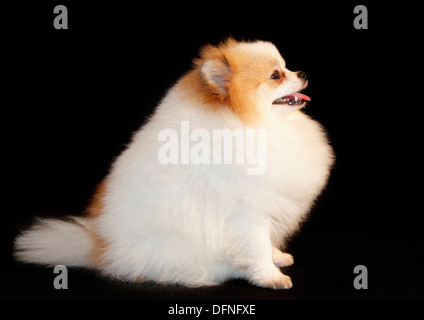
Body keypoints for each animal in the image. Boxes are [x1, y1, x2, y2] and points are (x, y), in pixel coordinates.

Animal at [14, 38, 334, 290]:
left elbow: (266, 242)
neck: (252, 124)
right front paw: (270, 277)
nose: (302, 72)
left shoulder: (267, 204)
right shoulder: (245, 214)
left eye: (286, 67)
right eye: (276, 75)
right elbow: (256, 247)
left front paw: (277, 256)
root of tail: (99, 247)